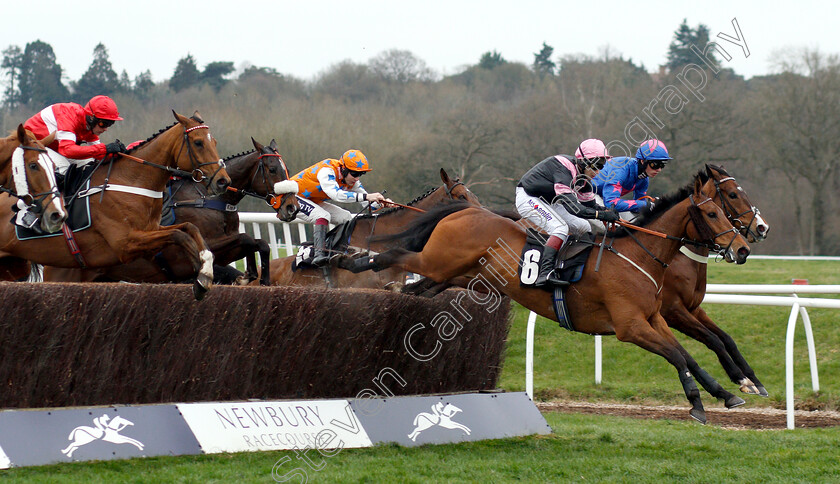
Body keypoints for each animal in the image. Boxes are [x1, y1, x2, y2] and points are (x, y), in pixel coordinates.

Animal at [0, 111, 231, 298]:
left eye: (215, 142)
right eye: (198, 143)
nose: (223, 181)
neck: (132, 179)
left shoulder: (150, 230)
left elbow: (189, 228)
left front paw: (206, 267)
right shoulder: (126, 244)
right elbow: (179, 235)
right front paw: (200, 276)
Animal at [42, 138, 300, 286]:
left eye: (286, 168)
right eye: (273, 169)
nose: (292, 207)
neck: (207, 199)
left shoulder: (224, 251)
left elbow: (258, 243)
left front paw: (252, 276)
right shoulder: (206, 247)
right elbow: (247, 238)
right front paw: (251, 276)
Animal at [352, 167, 752, 424]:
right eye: (714, 211)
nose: (744, 247)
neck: (639, 256)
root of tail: (465, 211)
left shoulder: (655, 318)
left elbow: (689, 355)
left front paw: (727, 392)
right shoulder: (631, 327)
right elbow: (679, 356)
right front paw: (700, 404)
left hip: (454, 275)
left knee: (418, 287)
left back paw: (393, 289)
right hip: (437, 261)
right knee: (394, 255)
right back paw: (356, 260)